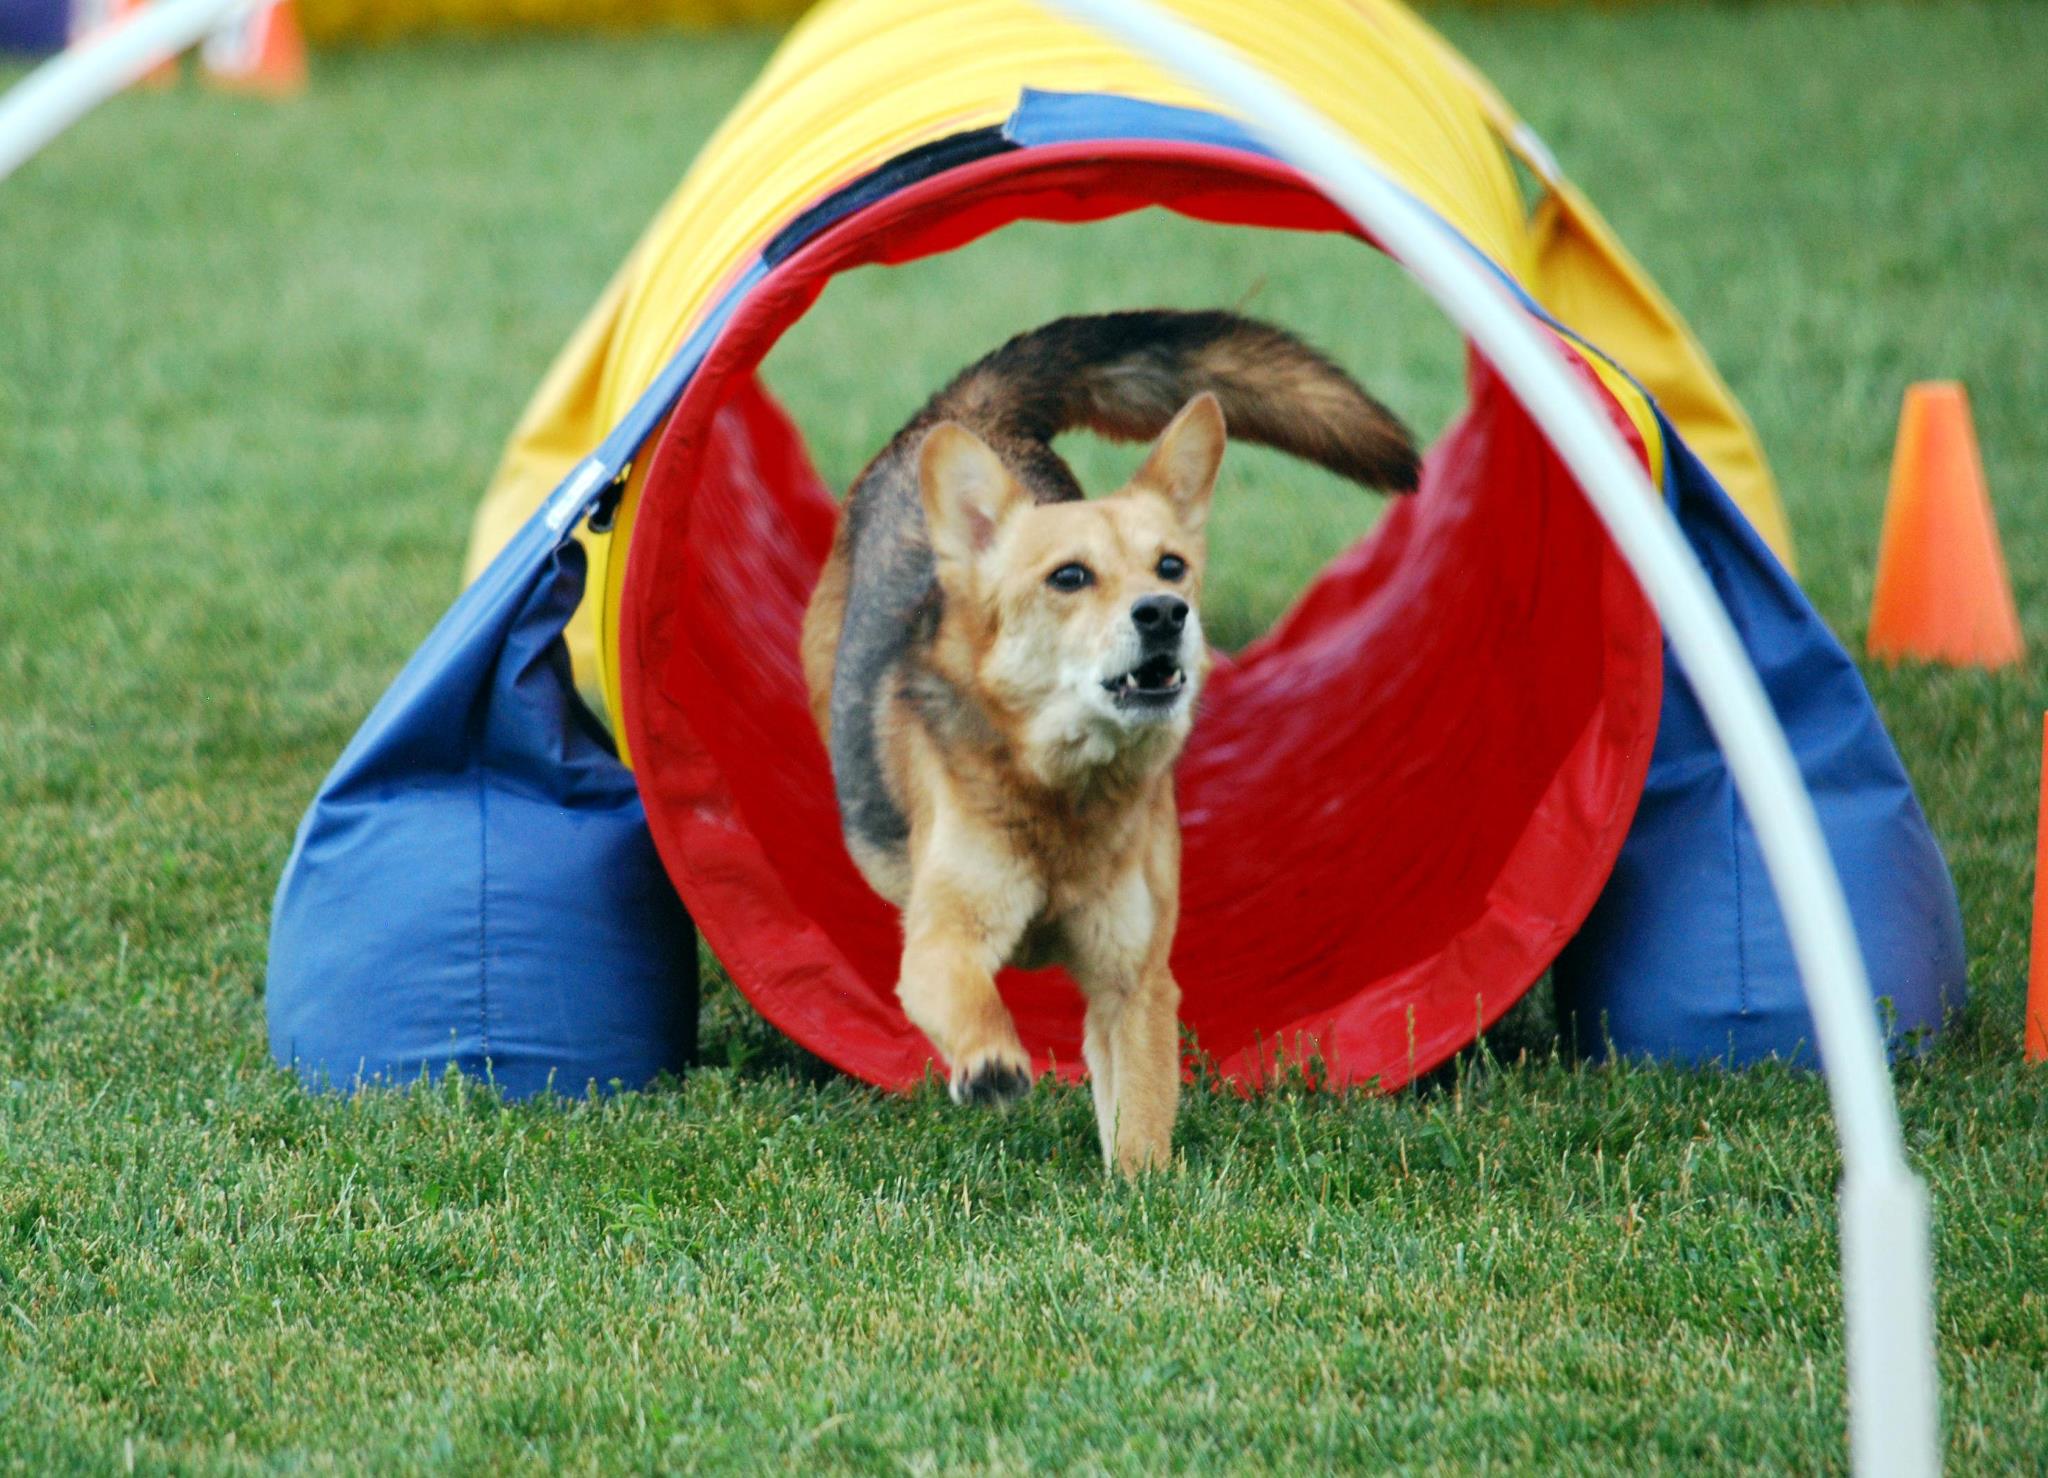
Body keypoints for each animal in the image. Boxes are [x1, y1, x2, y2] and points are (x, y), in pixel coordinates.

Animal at [802, 311, 1425, 1170]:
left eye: (1171, 566)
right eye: (1069, 577)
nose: (1165, 613)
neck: (1070, 791)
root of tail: (971, 414)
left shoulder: (1135, 979)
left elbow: (1141, 1113)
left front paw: (1142, 1187)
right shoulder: (941, 940)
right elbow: (970, 997)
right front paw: (992, 1063)